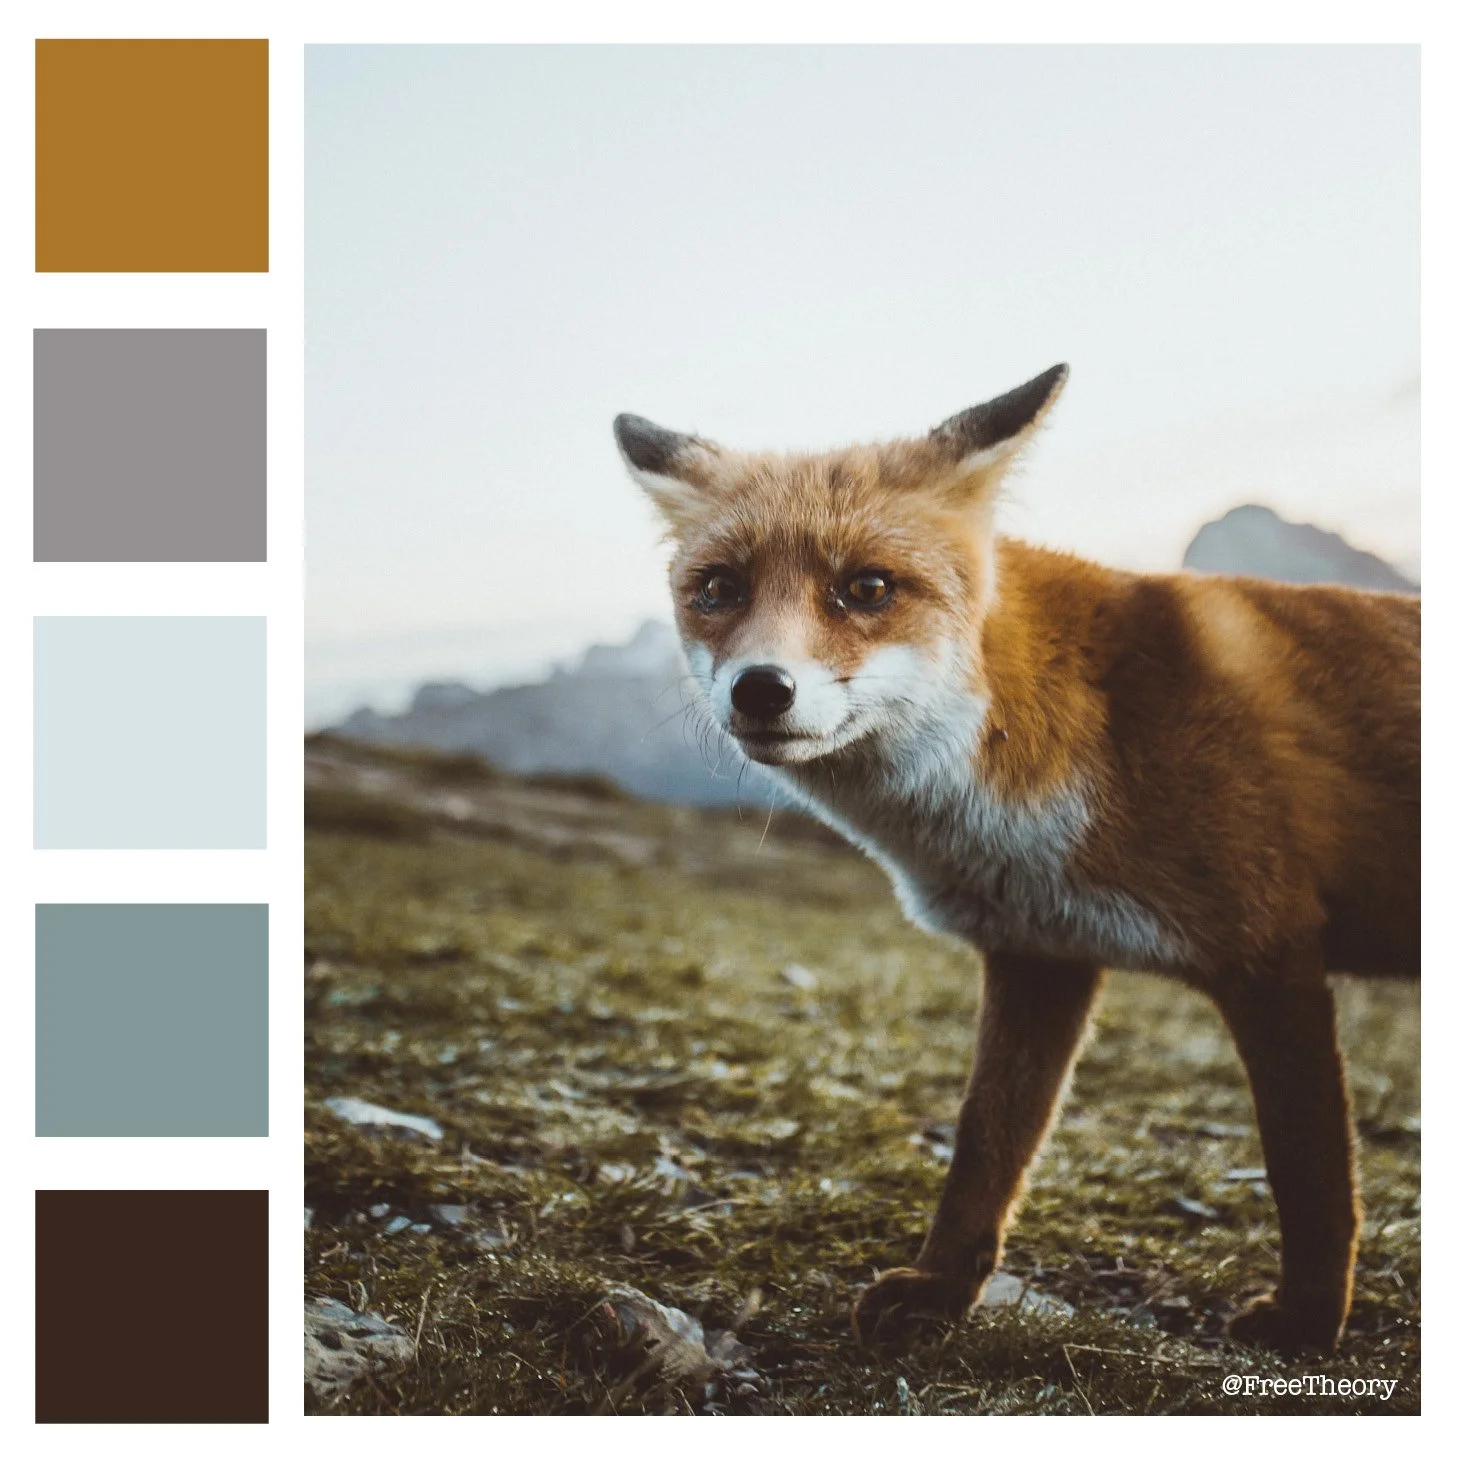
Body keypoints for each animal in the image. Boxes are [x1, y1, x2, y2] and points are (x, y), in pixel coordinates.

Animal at [612, 364, 1419, 1356]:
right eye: (720, 588)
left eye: (867, 587)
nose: (761, 689)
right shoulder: (1041, 952)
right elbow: (985, 1147)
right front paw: (940, 1291)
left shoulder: (1272, 954)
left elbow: (1309, 1172)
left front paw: (1307, 1323)